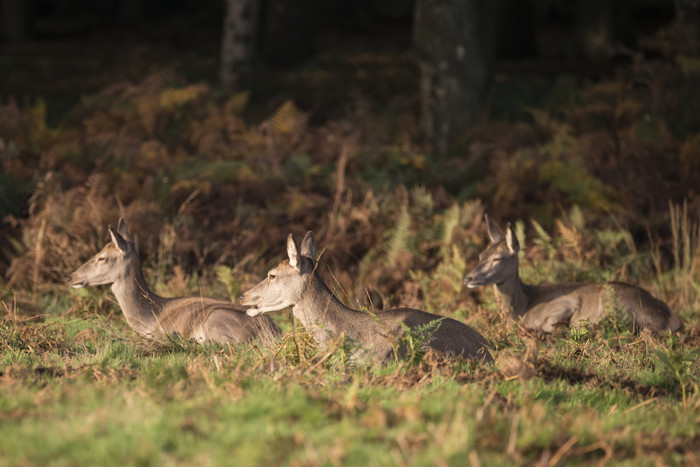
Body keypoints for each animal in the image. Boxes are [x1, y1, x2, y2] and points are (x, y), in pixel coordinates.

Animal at [462, 214, 680, 334]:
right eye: (481, 255)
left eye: (497, 259)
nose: (468, 278)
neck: (521, 308)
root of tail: (671, 319)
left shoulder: (565, 302)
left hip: (614, 300)